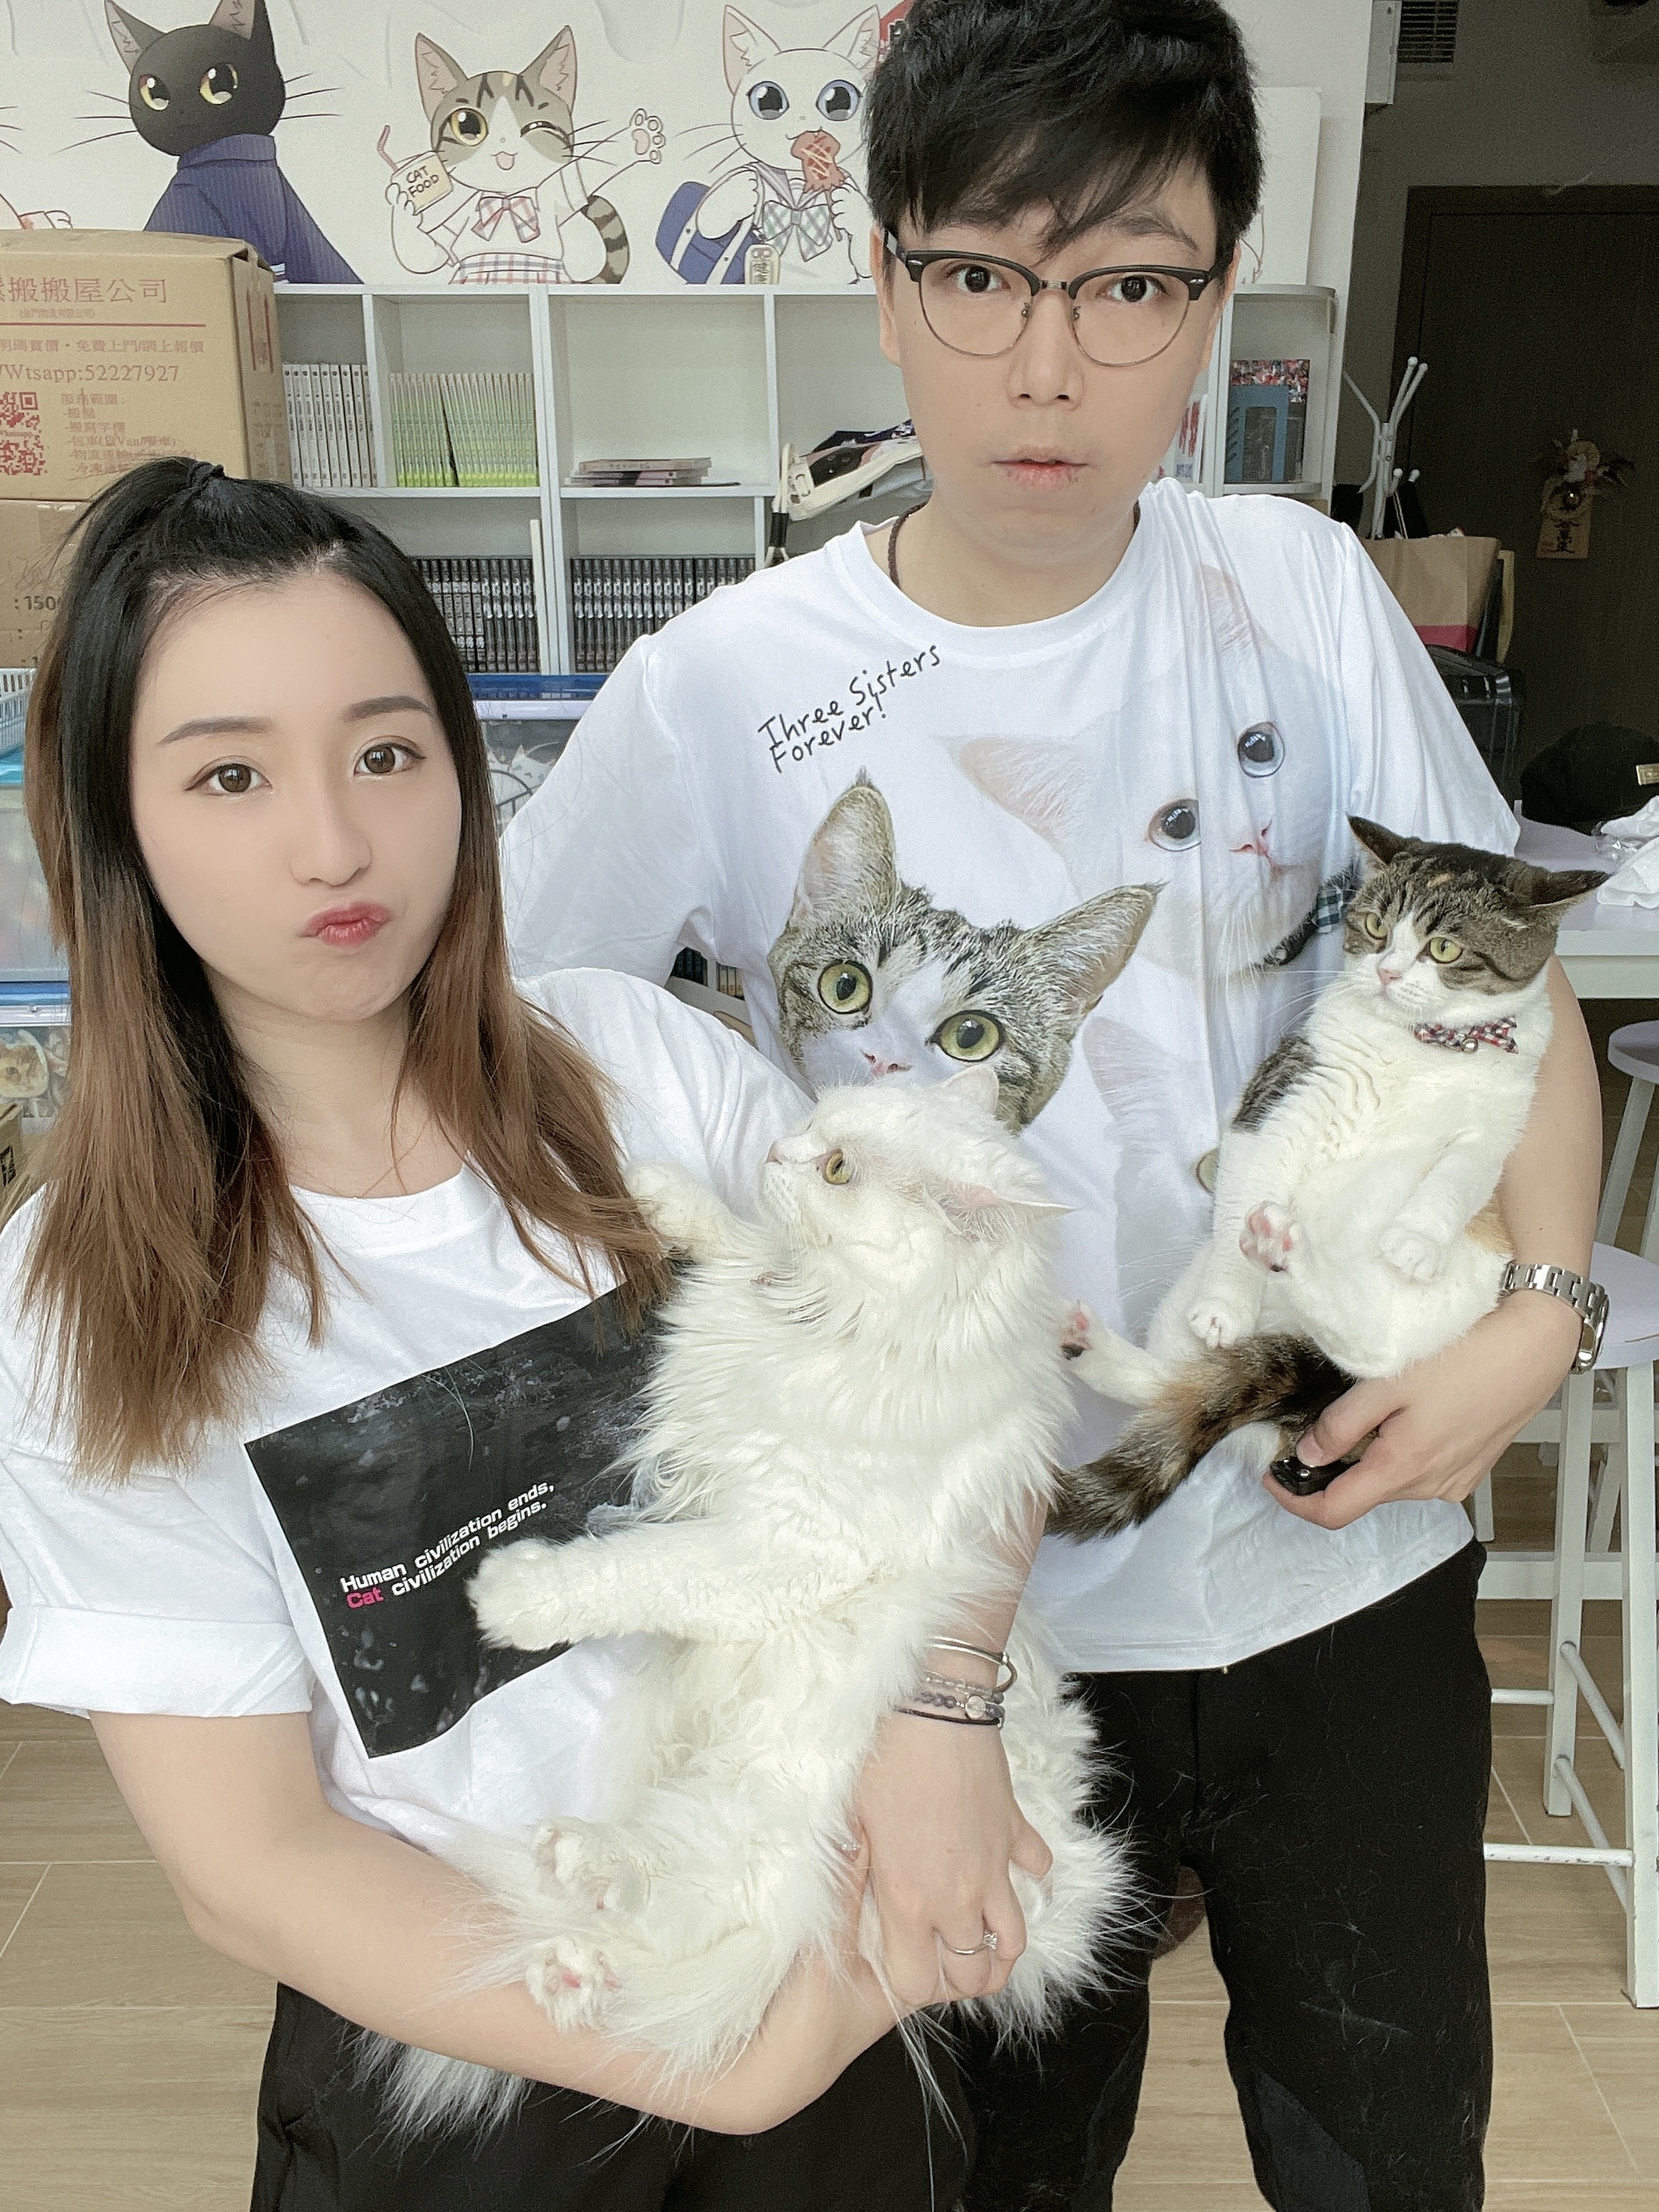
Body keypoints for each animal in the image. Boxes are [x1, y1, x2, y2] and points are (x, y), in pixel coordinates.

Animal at [374, 1071, 1126, 2134]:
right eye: (820, 1114)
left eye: (840, 1169)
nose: (778, 1149)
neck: (823, 1314)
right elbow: (731, 1237)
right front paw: (662, 1194)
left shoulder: (781, 1548)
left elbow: (640, 1567)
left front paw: (520, 1593)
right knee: (696, 1926)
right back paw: (574, 1972)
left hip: (769, 1796)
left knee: (707, 1905)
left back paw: (584, 1889)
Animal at [387, 29, 663, 287]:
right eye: (467, 124)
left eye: (538, 126)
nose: (504, 144)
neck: (506, 198)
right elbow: (427, 255)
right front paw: (404, 205)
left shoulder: (555, 192)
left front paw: (639, 138)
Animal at [658, 6, 880, 286]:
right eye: (768, 100)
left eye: (840, 99)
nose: (805, 125)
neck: (797, 181)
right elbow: (709, 220)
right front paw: (740, 191)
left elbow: (866, 259)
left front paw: (848, 205)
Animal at [1050, 819, 1605, 1535]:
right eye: (1373, 925)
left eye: (1444, 948)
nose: (1388, 972)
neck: (1417, 1045)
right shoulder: (1282, 1098)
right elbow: (1247, 1180)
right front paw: (1226, 1302)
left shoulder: (1499, 1120)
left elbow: (1458, 1176)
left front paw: (1415, 1240)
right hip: (1185, 1301)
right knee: (1185, 1377)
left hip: (1445, 1314)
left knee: (1372, 1348)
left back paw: (1290, 1251)